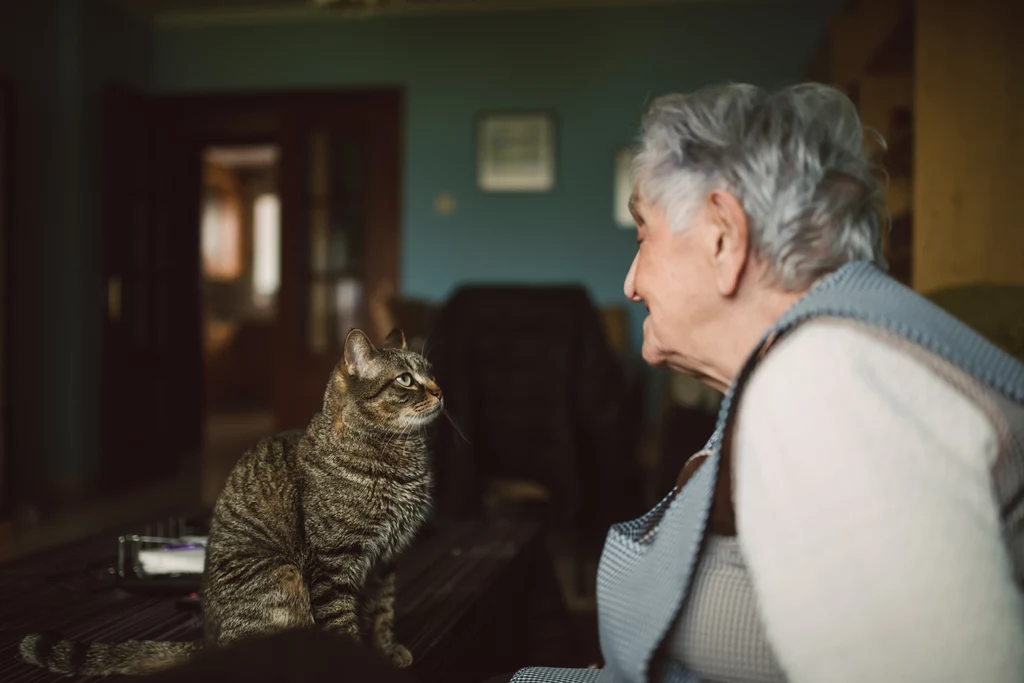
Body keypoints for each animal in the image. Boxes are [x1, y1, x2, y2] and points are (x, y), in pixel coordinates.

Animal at [18, 327, 444, 675]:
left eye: (432, 373)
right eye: (406, 380)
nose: (440, 391)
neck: (400, 458)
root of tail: (211, 643)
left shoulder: (385, 561)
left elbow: (382, 613)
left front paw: (385, 652)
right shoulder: (333, 565)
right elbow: (341, 623)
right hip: (284, 574)